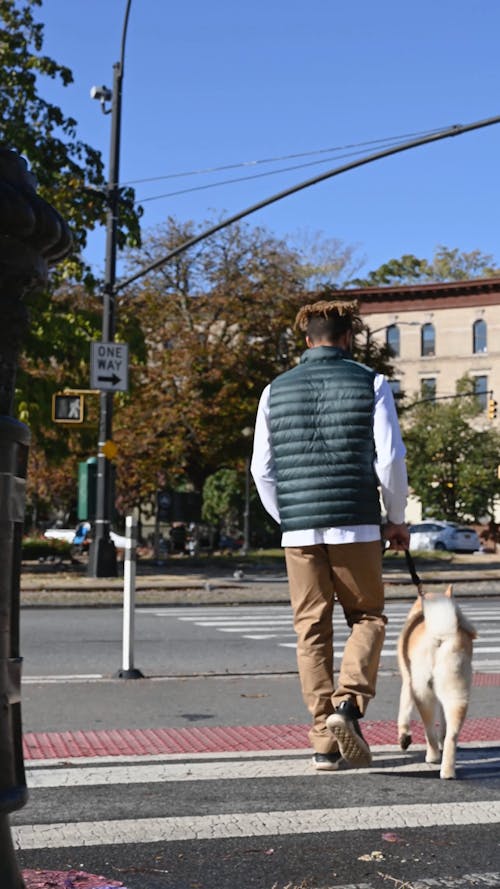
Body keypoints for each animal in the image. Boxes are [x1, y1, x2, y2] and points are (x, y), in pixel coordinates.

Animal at [398, 588, 476, 776]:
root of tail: (441, 635)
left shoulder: (407, 680)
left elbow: (404, 708)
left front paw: (403, 736)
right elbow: (444, 724)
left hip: (422, 692)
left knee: (428, 729)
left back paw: (432, 756)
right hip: (456, 694)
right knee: (451, 736)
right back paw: (447, 771)